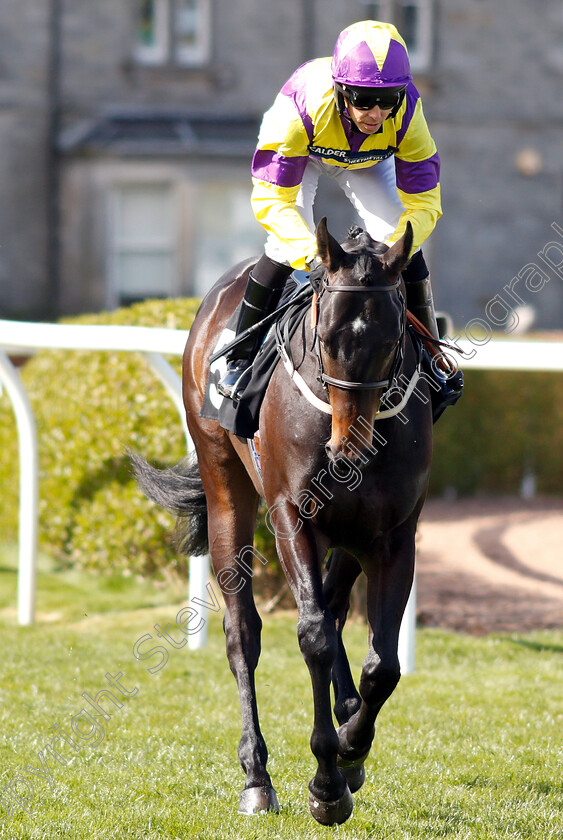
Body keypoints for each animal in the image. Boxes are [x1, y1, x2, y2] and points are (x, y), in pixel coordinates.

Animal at [132, 218, 432, 828]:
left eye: (393, 342)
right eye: (326, 338)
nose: (349, 450)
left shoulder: (392, 535)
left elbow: (382, 666)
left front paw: (351, 748)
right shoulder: (294, 516)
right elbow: (312, 636)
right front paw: (326, 784)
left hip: (348, 537)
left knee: (336, 608)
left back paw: (345, 719)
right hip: (226, 488)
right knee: (242, 632)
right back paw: (257, 777)